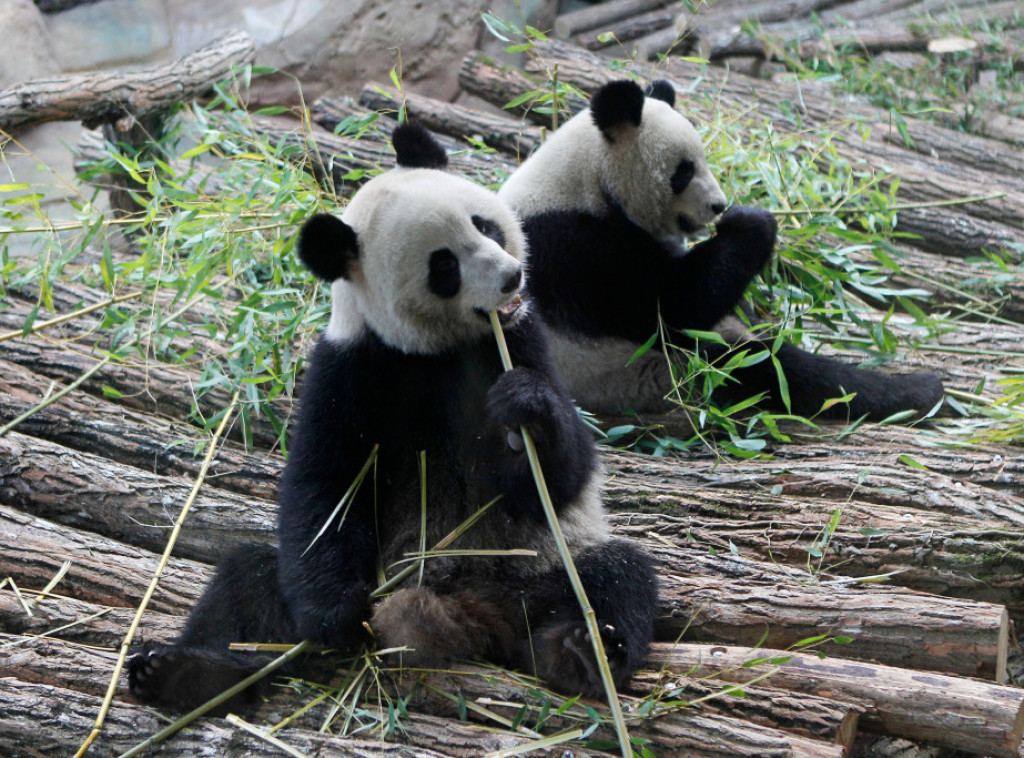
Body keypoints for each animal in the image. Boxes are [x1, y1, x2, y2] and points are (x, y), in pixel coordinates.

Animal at [127, 123, 657, 711]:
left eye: (485, 224)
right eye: (444, 265)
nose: (511, 276)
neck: (434, 350)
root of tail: (472, 615)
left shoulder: (521, 340)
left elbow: (560, 477)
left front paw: (527, 409)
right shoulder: (351, 369)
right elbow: (325, 488)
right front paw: (336, 619)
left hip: (540, 568)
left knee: (616, 577)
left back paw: (581, 653)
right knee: (247, 578)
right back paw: (185, 672)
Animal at [499, 79, 944, 422]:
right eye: (683, 172)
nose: (718, 206)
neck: (586, 180)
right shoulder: (579, 248)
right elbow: (671, 306)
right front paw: (752, 222)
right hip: (648, 373)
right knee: (766, 368)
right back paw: (916, 391)